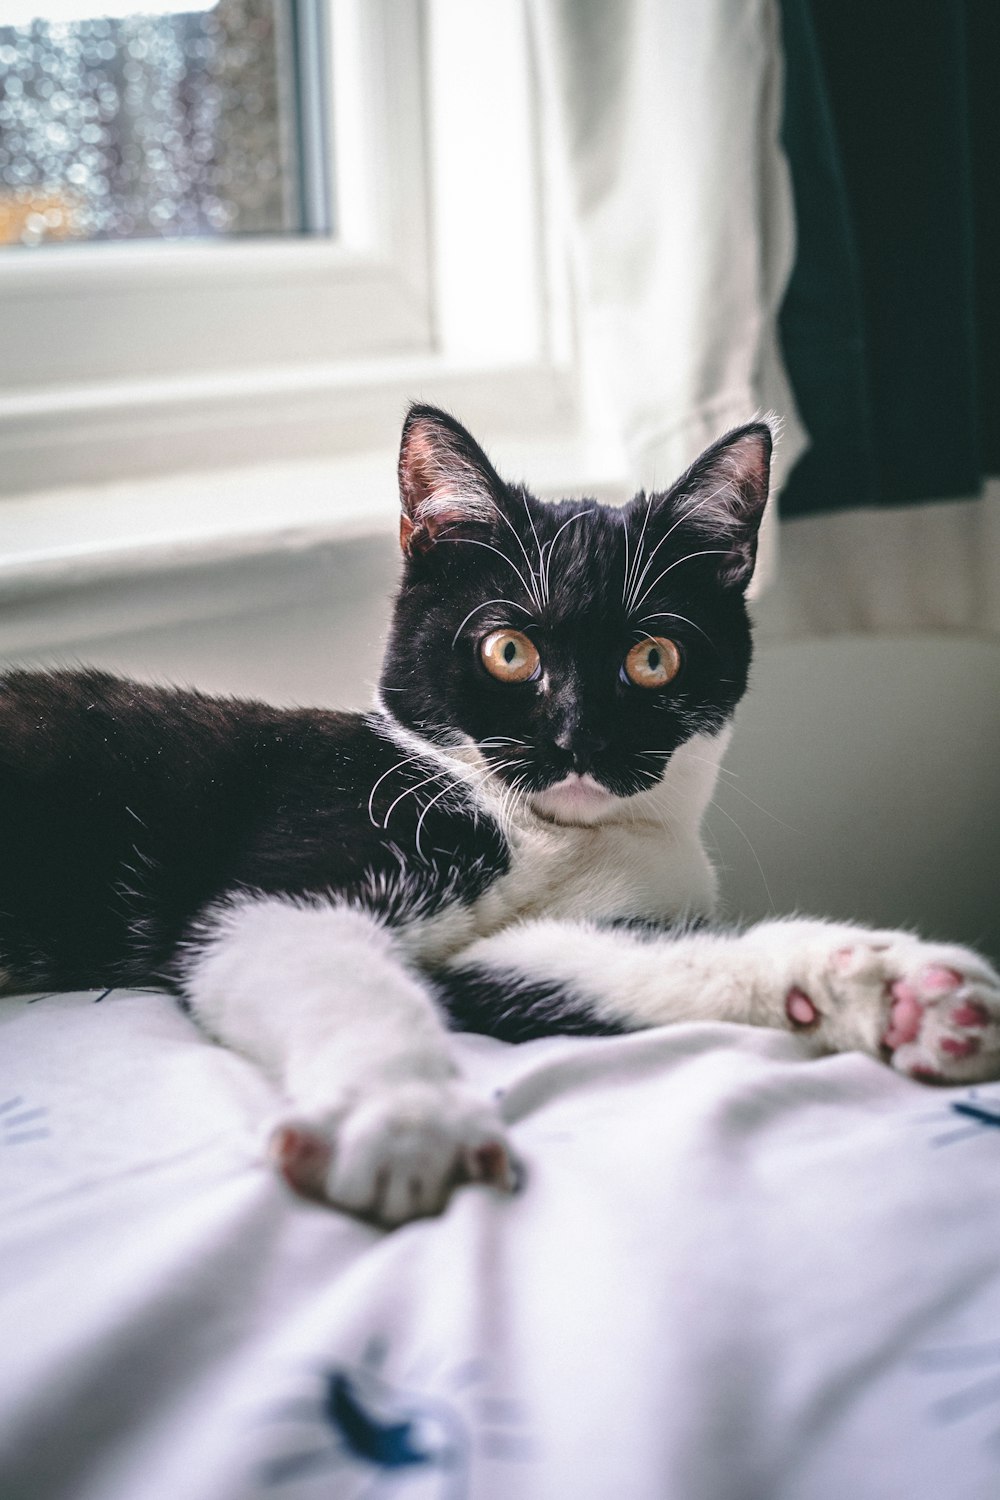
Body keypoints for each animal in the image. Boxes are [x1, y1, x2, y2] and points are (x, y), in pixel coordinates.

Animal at [1, 405, 1000, 1224]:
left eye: (653, 658)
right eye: (508, 651)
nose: (577, 739)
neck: (549, 835)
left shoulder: (508, 953)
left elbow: (616, 963)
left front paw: (895, 992)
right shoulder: (292, 865)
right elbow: (341, 973)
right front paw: (404, 1121)